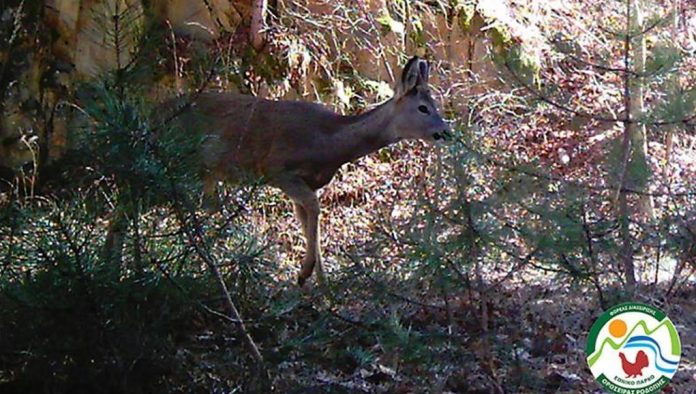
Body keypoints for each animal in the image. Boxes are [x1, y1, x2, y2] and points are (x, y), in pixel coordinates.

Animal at [177, 55, 448, 284]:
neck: (328, 143)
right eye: (423, 107)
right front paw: (305, 273)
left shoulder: (307, 183)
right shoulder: (277, 168)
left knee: (203, 205)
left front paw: (322, 286)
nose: (446, 132)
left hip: (207, 173)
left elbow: (308, 218)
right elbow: (314, 209)